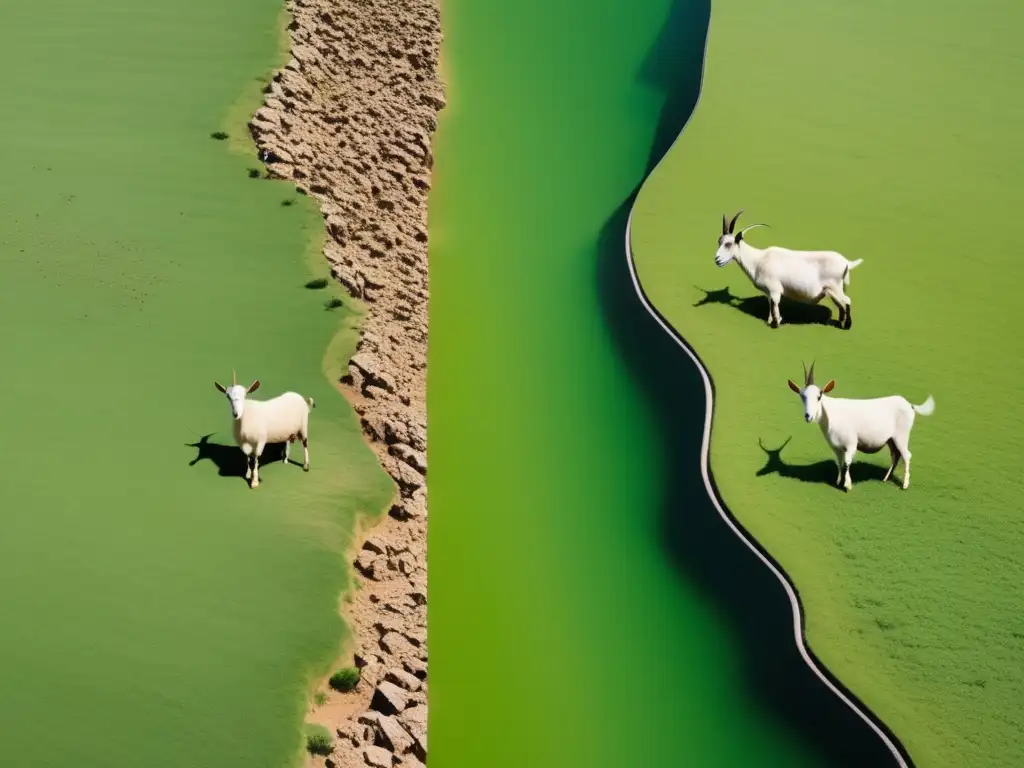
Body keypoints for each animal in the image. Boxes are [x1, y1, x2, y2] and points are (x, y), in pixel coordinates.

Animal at [712, 208, 864, 329]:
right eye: (719, 242)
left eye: (729, 244)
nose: (717, 260)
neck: (758, 260)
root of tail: (847, 263)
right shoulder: (769, 291)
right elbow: (770, 304)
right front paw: (770, 321)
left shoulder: (774, 289)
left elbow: (775, 304)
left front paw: (776, 323)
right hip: (834, 289)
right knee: (841, 304)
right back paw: (839, 323)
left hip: (835, 287)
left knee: (847, 301)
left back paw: (847, 326)